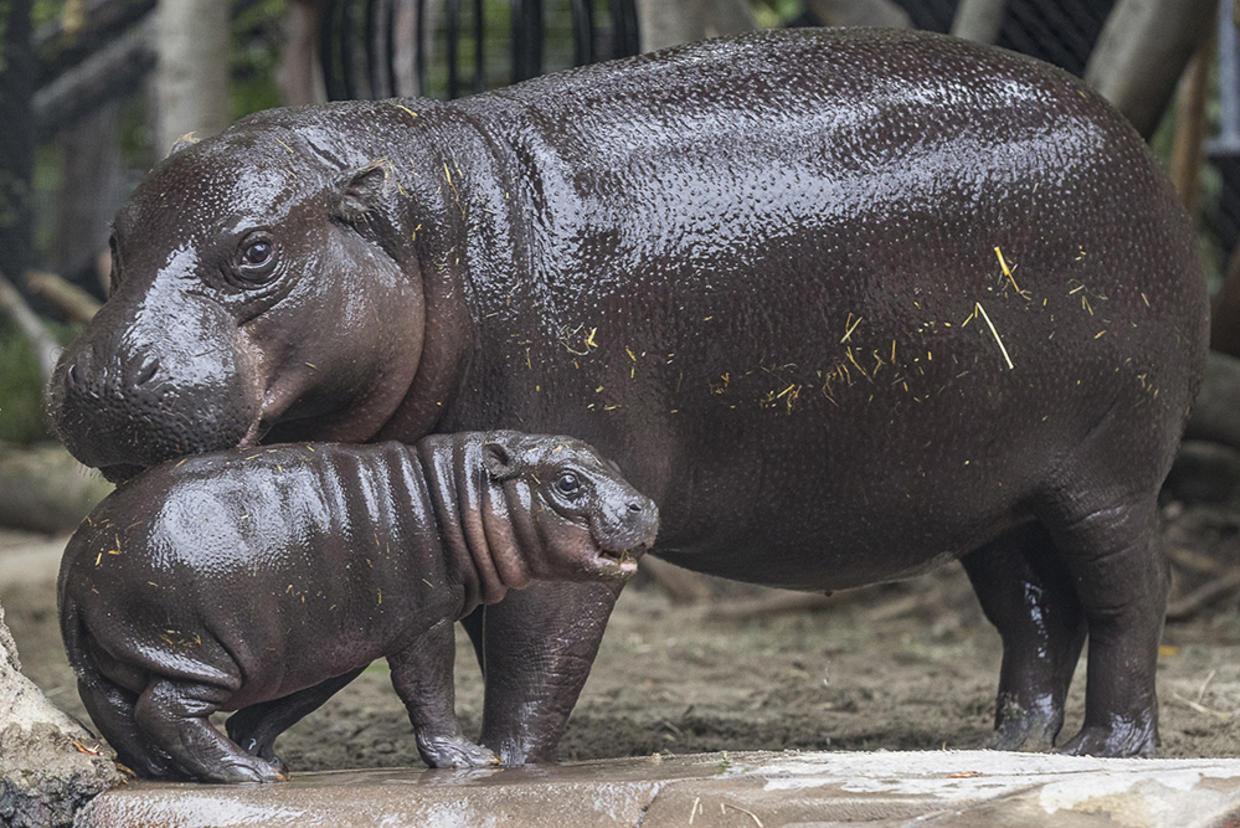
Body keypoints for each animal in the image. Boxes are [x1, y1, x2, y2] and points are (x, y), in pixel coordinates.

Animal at [58, 433, 659, 783]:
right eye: (568, 482)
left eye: (612, 460)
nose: (647, 504)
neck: (458, 492)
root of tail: (79, 549)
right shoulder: (424, 624)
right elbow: (429, 691)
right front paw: (470, 760)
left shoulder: (334, 638)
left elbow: (292, 701)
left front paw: (267, 751)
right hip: (197, 649)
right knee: (164, 709)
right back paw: (246, 774)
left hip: (127, 651)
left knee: (114, 706)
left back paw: (174, 770)